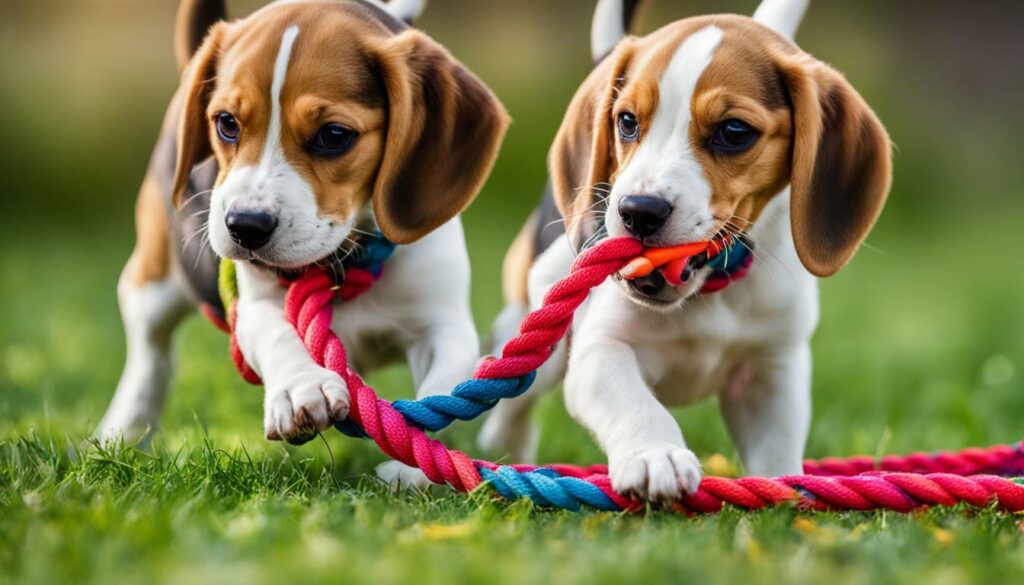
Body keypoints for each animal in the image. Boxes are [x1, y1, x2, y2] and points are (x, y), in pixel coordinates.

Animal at [96, 0, 507, 463]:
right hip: (156, 281)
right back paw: (123, 429)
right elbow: (277, 333)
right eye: (226, 123)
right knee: (151, 352)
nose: (245, 226)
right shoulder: (252, 304)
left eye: (334, 135)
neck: (348, 260)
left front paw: (419, 464)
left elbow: (444, 390)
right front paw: (300, 388)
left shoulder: (443, 321)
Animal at [477, 1, 888, 504]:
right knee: (517, 380)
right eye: (627, 121)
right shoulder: (601, 348)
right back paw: (504, 445)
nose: (638, 211)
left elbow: (776, 449)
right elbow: (636, 404)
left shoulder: (774, 368)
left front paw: (782, 489)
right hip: (541, 321)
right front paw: (657, 455)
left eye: (734, 131)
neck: (713, 288)